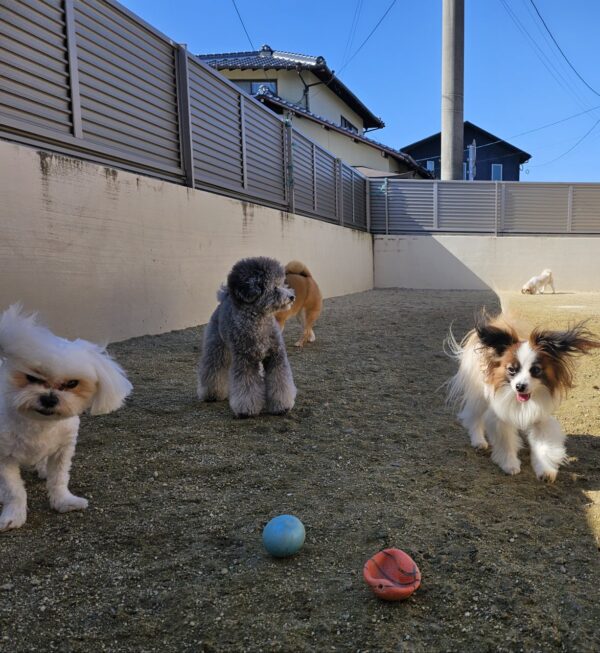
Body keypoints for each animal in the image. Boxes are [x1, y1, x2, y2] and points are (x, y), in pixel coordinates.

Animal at [0, 305, 132, 531]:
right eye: (32, 377)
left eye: (72, 383)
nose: (49, 398)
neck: (39, 424)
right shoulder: (3, 457)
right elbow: (13, 490)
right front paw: (14, 515)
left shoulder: (62, 449)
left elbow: (59, 479)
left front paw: (63, 501)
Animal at [197, 257, 297, 418]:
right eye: (274, 287)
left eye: (282, 283)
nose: (292, 297)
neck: (258, 323)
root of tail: (224, 298)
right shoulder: (245, 360)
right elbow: (247, 386)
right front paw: (247, 410)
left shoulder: (276, 357)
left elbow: (280, 381)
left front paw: (282, 406)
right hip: (217, 347)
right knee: (213, 368)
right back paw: (211, 394)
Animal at [446, 311, 599, 481]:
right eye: (512, 370)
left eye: (536, 370)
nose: (520, 386)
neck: (522, 402)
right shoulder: (500, 419)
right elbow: (506, 443)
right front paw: (510, 464)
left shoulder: (541, 420)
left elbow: (544, 445)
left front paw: (545, 470)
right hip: (479, 397)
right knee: (473, 417)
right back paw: (478, 441)